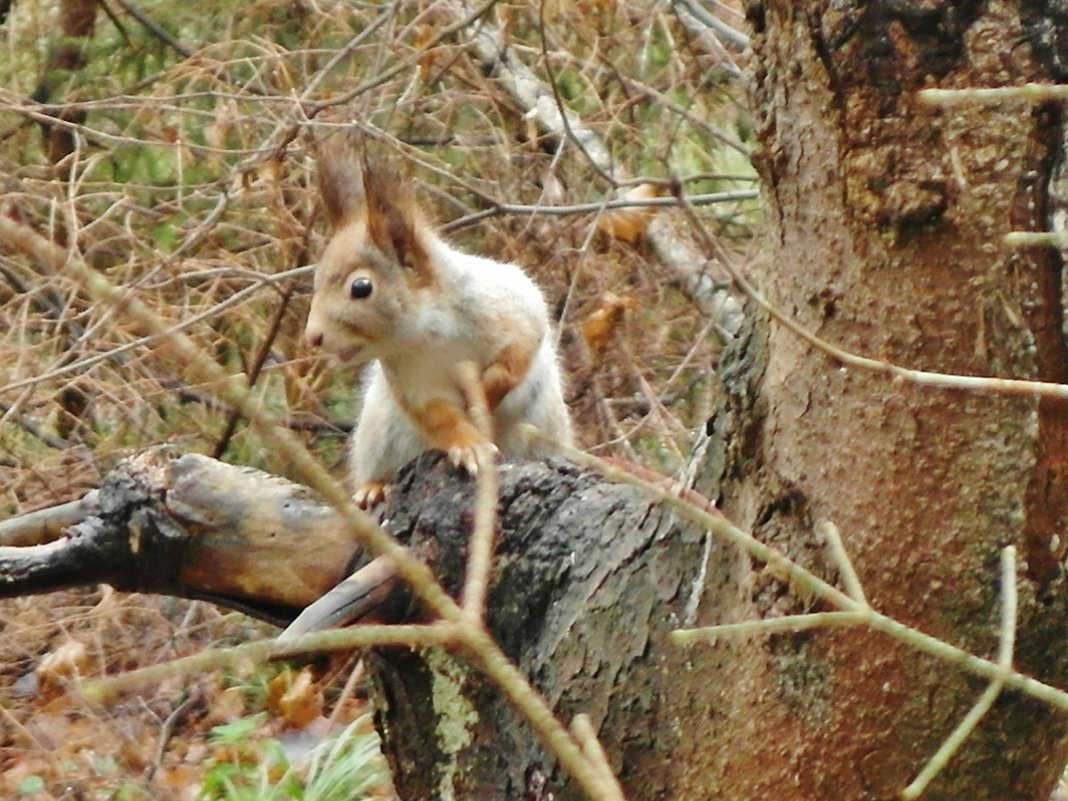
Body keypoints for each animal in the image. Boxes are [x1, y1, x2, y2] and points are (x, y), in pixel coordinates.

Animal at [305, 137, 572, 508]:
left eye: (361, 288)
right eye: (315, 280)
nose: (312, 337)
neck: (427, 335)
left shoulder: (515, 311)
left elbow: (513, 361)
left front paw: (482, 395)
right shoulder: (412, 382)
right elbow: (439, 418)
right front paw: (469, 446)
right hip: (378, 433)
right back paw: (375, 487)